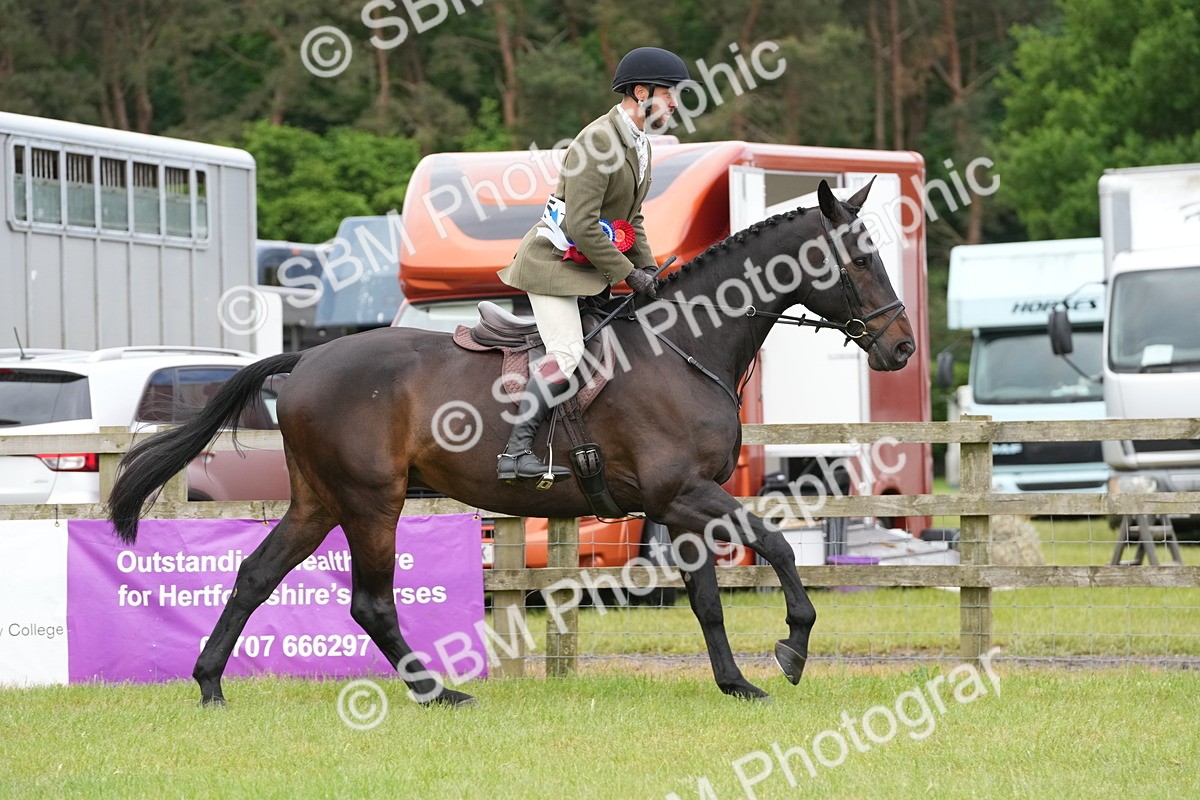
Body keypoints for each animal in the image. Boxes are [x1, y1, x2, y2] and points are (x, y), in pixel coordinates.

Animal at [107, 179, 915, 706]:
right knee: (370, 602)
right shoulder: (684, 493)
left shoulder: (681, 506)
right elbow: (776, 549)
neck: (684, 347)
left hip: (318, 501)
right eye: (860, 259)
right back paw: (436, 693)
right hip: (371, 502)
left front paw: (736, 682)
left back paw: (211, 685)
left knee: (254, 574)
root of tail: (304, 361)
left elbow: (708, 600)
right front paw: (792, 650)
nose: (902, 348)